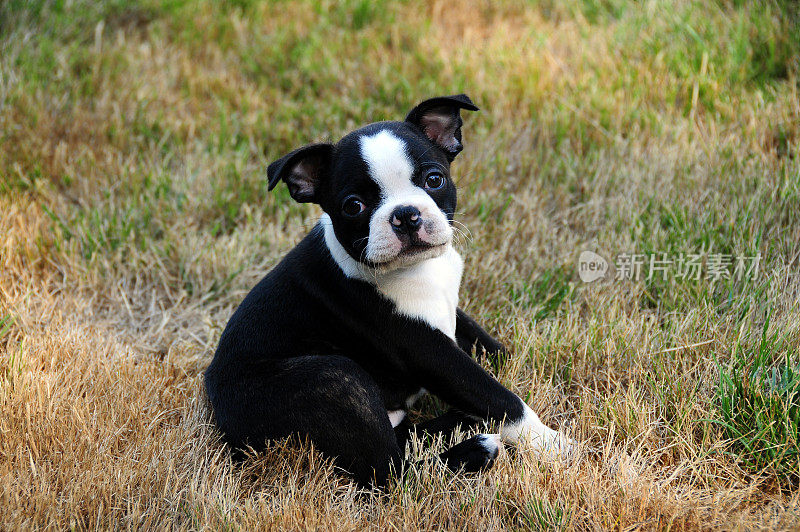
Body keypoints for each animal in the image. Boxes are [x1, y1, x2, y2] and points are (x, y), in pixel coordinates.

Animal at [203, 94, 572, 486]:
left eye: (434, 179)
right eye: (353, 206)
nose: (406, 214)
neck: (417, 270)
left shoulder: (449, 312)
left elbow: (490, 347)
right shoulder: (427, 348)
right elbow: (499, 397)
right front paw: (553, 444)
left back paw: (462, 422)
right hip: (334, 378)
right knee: (390, 472)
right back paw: (475, 449)